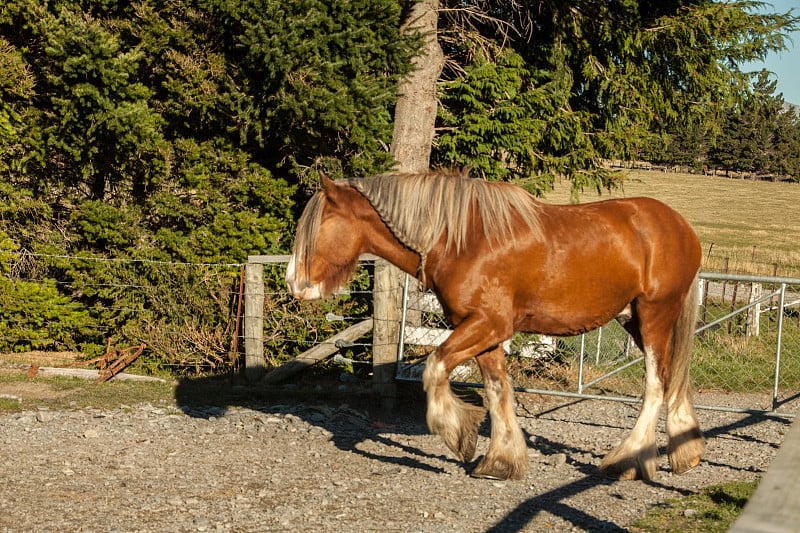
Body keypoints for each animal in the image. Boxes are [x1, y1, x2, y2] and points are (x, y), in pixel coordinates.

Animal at [284, 168, 704, 480]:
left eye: (320, 224)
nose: (293, 283)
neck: (462, 239)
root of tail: (682, 227)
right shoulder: (482, 332)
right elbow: (497, 390)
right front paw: (501, 460)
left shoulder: (489, 325)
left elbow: (436, 367)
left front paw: (459, 436)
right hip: (636, 320)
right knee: (674, 379)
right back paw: (686, 452)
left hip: (655, 316)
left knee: (656, 384)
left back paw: (629, 460)